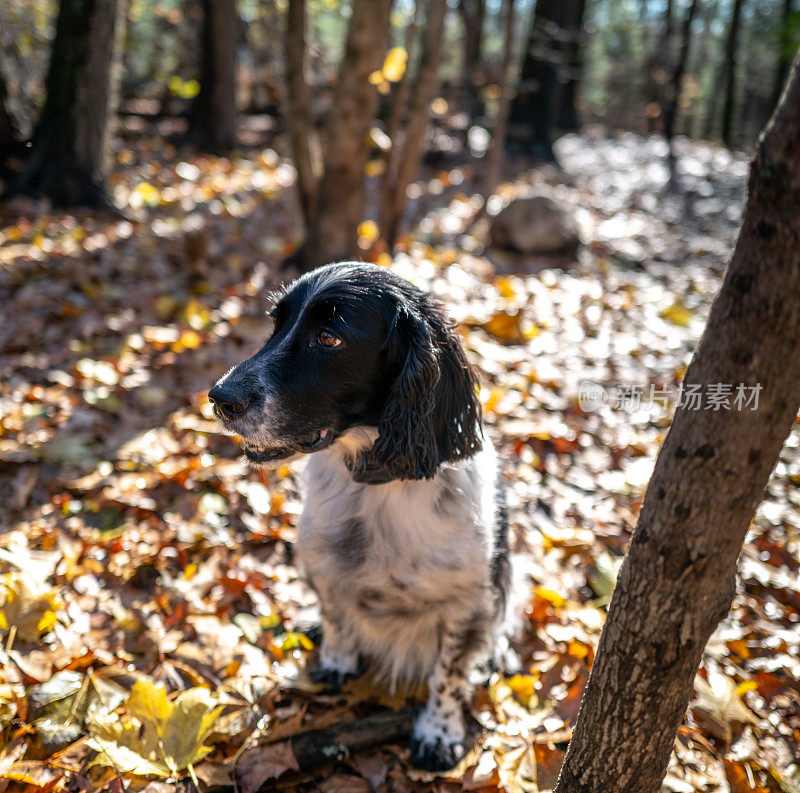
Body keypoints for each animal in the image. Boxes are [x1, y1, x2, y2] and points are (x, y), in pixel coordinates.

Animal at [209, 262, 510, 772]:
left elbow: (448, 671)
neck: (379, 485)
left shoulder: (466, 599)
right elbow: (336, 616)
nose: (219, 398)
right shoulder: (325, 564)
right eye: (276, 325)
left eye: (329, 338)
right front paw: (337, 661)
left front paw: (439, 732)